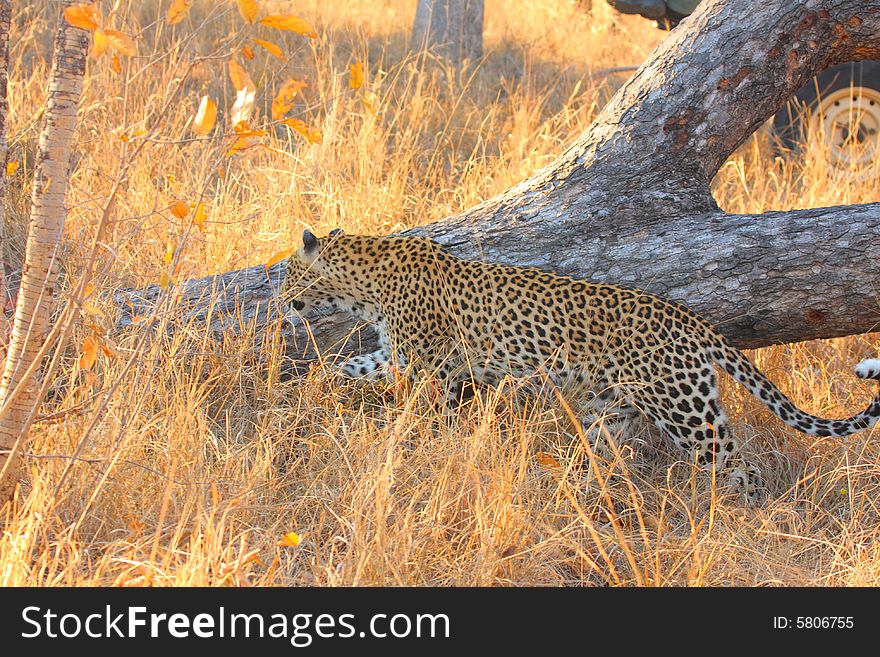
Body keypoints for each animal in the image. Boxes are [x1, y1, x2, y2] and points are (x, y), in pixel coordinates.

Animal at [282, 228, 880, 500]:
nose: (284, 303)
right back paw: (576, 492)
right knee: (602, 453)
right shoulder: (396, 355)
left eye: (289, 275)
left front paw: (419, 445)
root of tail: (696, 323)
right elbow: (351, 366)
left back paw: (745, 518)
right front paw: (312, 391)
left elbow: (427, 414)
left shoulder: (435, 367)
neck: (364, 285)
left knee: (739, 464)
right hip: (610, 407)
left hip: (684, 408)